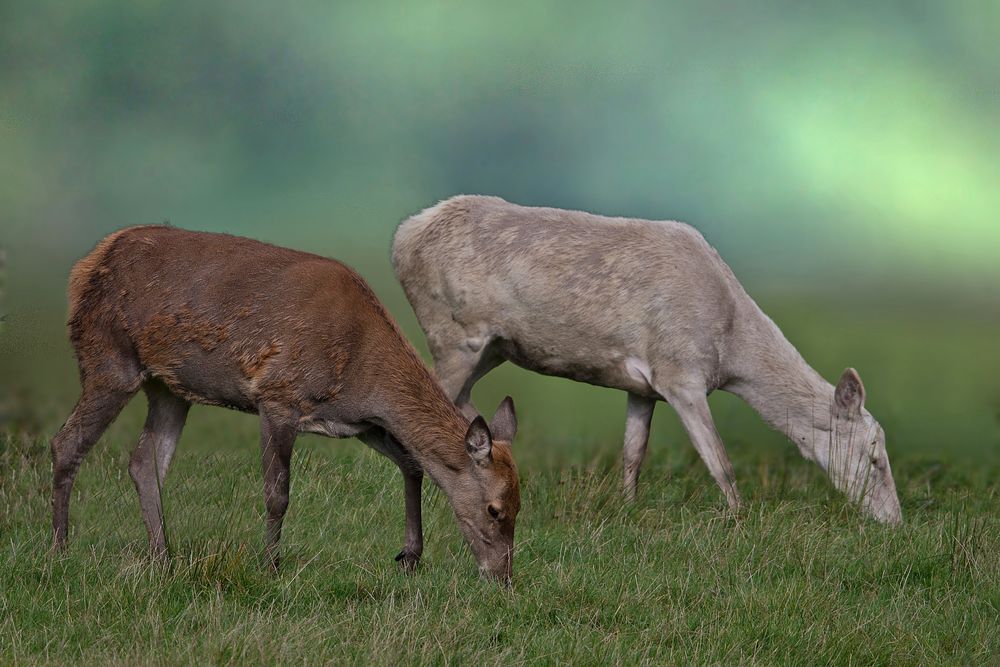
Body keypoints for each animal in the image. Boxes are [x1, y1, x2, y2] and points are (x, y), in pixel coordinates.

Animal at [52, 227, 524, 580]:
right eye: (495, 509)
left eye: (522, 506)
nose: (502, 576)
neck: (363, 371)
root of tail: (82, 269)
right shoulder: (278, 396)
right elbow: (277, 493)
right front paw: (271, 566)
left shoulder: (360, 422)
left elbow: (412, 463)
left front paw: (409, 556)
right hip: (110, 356)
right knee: (66, 443)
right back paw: (59, 549)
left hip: (169, 388)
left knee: (143, 462)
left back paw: (163, 558)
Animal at [394, 196, 904, 524]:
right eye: (875, 456)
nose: (895, 523)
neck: (729, 347)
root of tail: (401, 238)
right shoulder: (679, 371)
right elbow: (719, 459)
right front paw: (741, 520)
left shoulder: (643, 386)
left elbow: (633, 452)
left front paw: (627, 507)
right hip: (455, 331)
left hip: (493, 347)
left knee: (460, 402)